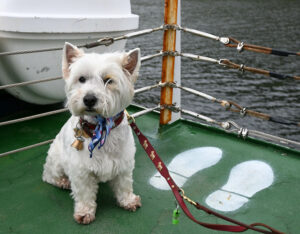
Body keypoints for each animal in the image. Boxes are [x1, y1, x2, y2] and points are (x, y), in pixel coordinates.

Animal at [41, 42, 142, 225]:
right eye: (81, 79)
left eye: (108, 80)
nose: (89, 99)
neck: (101, 128)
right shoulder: (81, 170)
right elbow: (84, 194)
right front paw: (84, 212)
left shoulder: (124, 164)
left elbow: (124, 185)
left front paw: (129, 201)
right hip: (56, 160)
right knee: (48, 175)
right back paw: (63, 182)